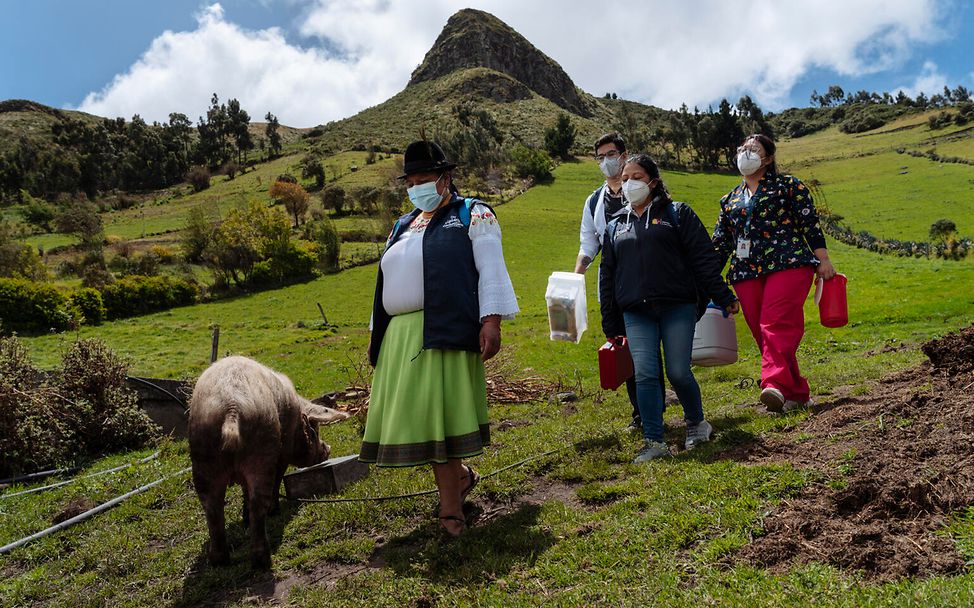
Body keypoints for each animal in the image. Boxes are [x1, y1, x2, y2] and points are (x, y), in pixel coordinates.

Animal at [187, 356, 346, 568]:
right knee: (258, 502)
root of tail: (231, 411)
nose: (328, 449)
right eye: (315, 429)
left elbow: (244, 491)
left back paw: (220, 561)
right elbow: (277, 480)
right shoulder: (283, 455)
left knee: (212, 508)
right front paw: (274, 510)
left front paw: (244, 518)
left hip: (202, 457)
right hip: (262, 451)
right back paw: (263, 559)